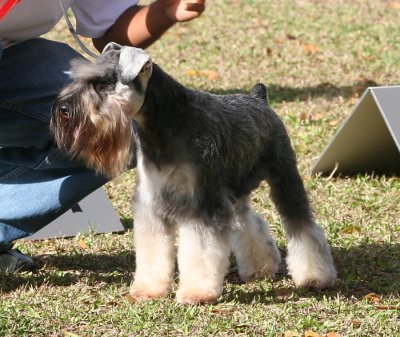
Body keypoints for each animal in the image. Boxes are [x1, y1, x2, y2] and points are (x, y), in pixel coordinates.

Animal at [50, 42, 338, 304]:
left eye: (102, 83)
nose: (63, 109)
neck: (165, 126)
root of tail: (259, 98)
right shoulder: (151, 204)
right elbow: (153, 250)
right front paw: (149, 289)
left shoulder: (202, 205)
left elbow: (200, 251)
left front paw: (197, 293)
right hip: (235, 191)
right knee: (249, 222)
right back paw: (260, 268)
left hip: (284, 178)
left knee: (303, 226)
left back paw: (315, 276)